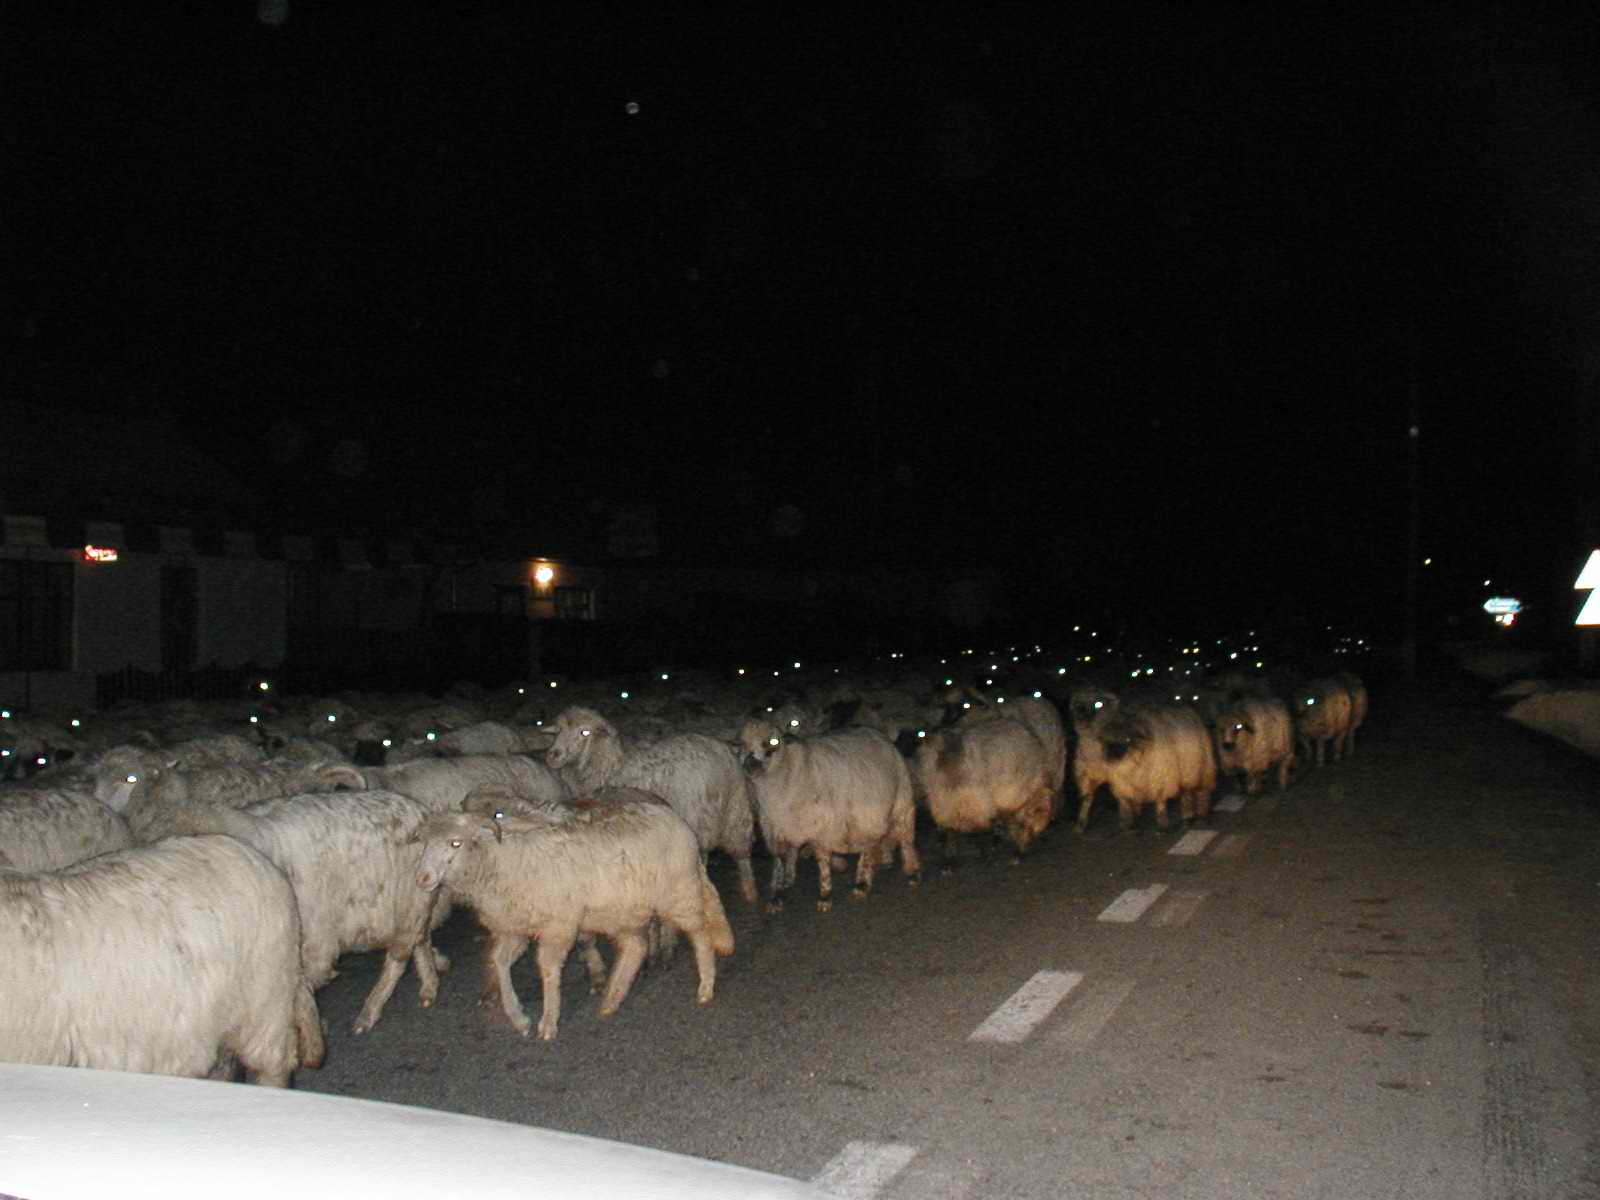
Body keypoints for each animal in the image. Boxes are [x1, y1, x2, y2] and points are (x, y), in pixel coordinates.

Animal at [159, 789, 451, 1034]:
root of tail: (419, 809)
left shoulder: (313, 947)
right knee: (420, 938)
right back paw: (430, 982)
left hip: (410, 897)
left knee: (400, 955)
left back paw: (370, 1011)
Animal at [413, 800, 735, 1041]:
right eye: (425, 844)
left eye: (455, 843)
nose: (422, 879)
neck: (501, 861)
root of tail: (677, 819)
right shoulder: (514, 927)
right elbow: (500, 962)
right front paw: (519, 1017)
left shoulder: (558, 924)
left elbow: (548, 969)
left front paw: (548, 1021)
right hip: (621, 909)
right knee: (636, 946)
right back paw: (611, 1000)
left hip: (678, 892)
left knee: (700, 934)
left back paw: (706, 985)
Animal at [543, 706, 759, 907]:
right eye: (558, 730)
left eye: (584, 732)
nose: (553, 756)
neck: (609, 765)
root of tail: (721, 749)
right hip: (721, 810)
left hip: (718, 812)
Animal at [738, 719, 921, 913]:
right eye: (741, 743)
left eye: (773, 741)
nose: (751, 763)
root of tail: (877, 733)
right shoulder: (778, 830)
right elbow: (782, 861)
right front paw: (778, 895)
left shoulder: (823, 830)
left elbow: (823, 862)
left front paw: (825, 895)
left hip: (895, 806)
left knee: (902, 840)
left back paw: (901, 874)